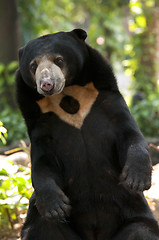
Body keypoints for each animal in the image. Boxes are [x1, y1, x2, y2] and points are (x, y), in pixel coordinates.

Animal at [15, 29, 159, 239]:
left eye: (58, 60)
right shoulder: (40, 122)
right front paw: (56, 207)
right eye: (33, 66)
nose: (47, 84)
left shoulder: (107, 101)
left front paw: (137, 179)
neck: (68, 96)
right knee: (42, 228)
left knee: (140, 230)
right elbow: (42, 161)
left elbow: (129, 134)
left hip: (133, 211)